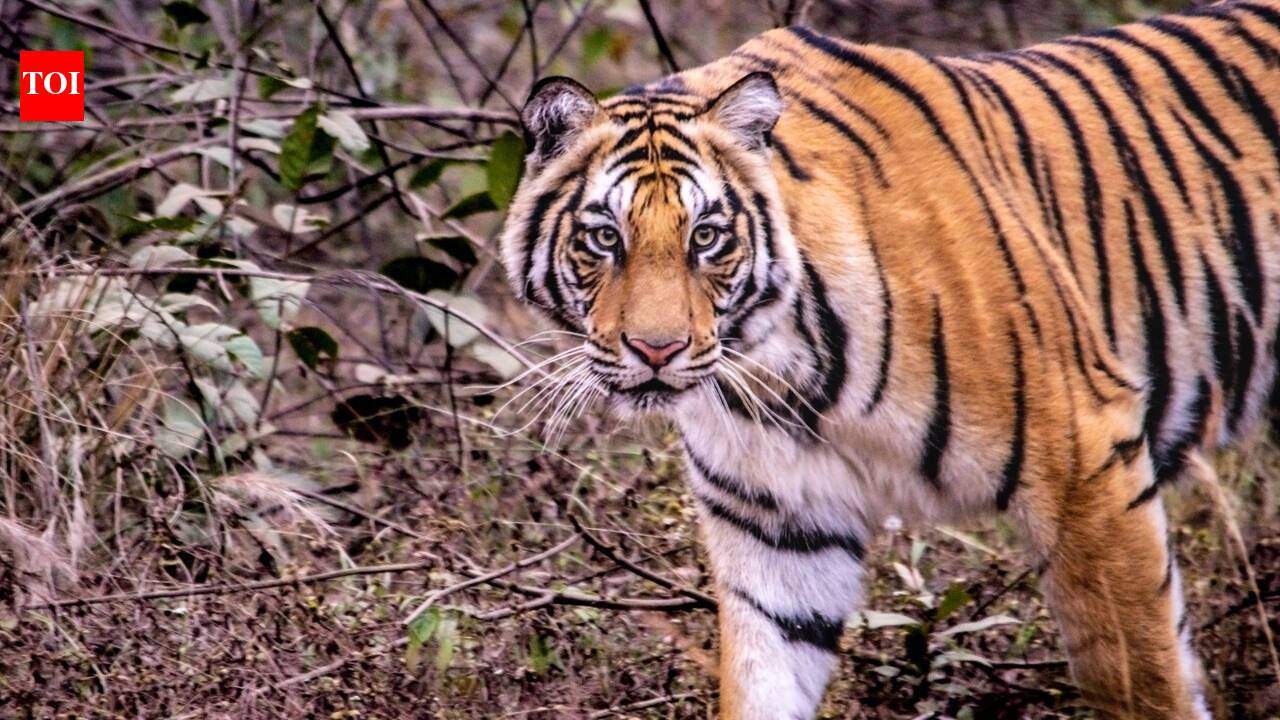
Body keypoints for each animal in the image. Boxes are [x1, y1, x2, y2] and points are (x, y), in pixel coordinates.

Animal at [497, 2, 1280, 718]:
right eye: (604, 238)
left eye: (708, 237)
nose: (657, 349)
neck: (777, 369)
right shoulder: (778, 527)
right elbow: (761, 680)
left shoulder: (1087, 453)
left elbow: (1139, 675)